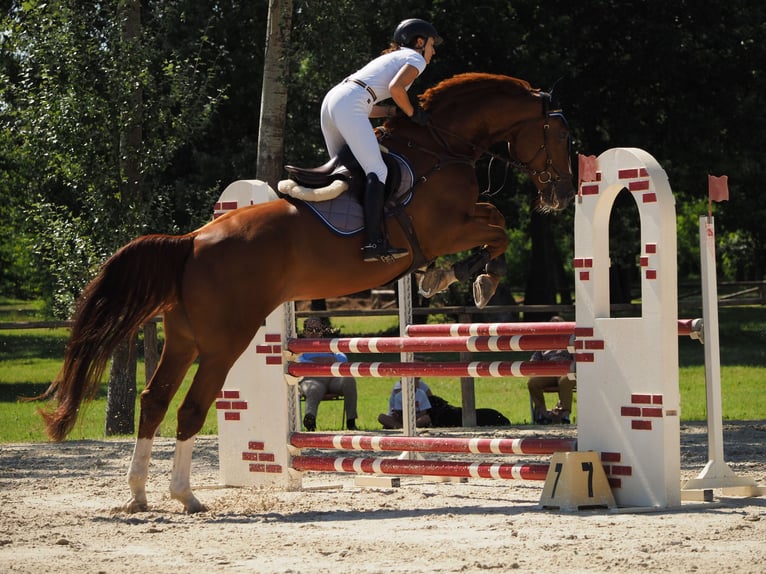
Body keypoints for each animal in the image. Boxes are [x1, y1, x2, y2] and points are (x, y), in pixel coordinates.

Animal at [39, 72, 574, 513]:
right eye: (561, 137)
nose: (564, 194)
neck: (440, 146)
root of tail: (192, 241)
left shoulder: (458, 223)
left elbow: (494, 221)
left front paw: (456, 277)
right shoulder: (447, 229)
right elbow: (497, 228)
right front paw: (471, 277)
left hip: (185, 339)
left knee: (153, 400)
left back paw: (138, 494)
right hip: (224, 342)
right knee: (190, 407)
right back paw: (185, 496)